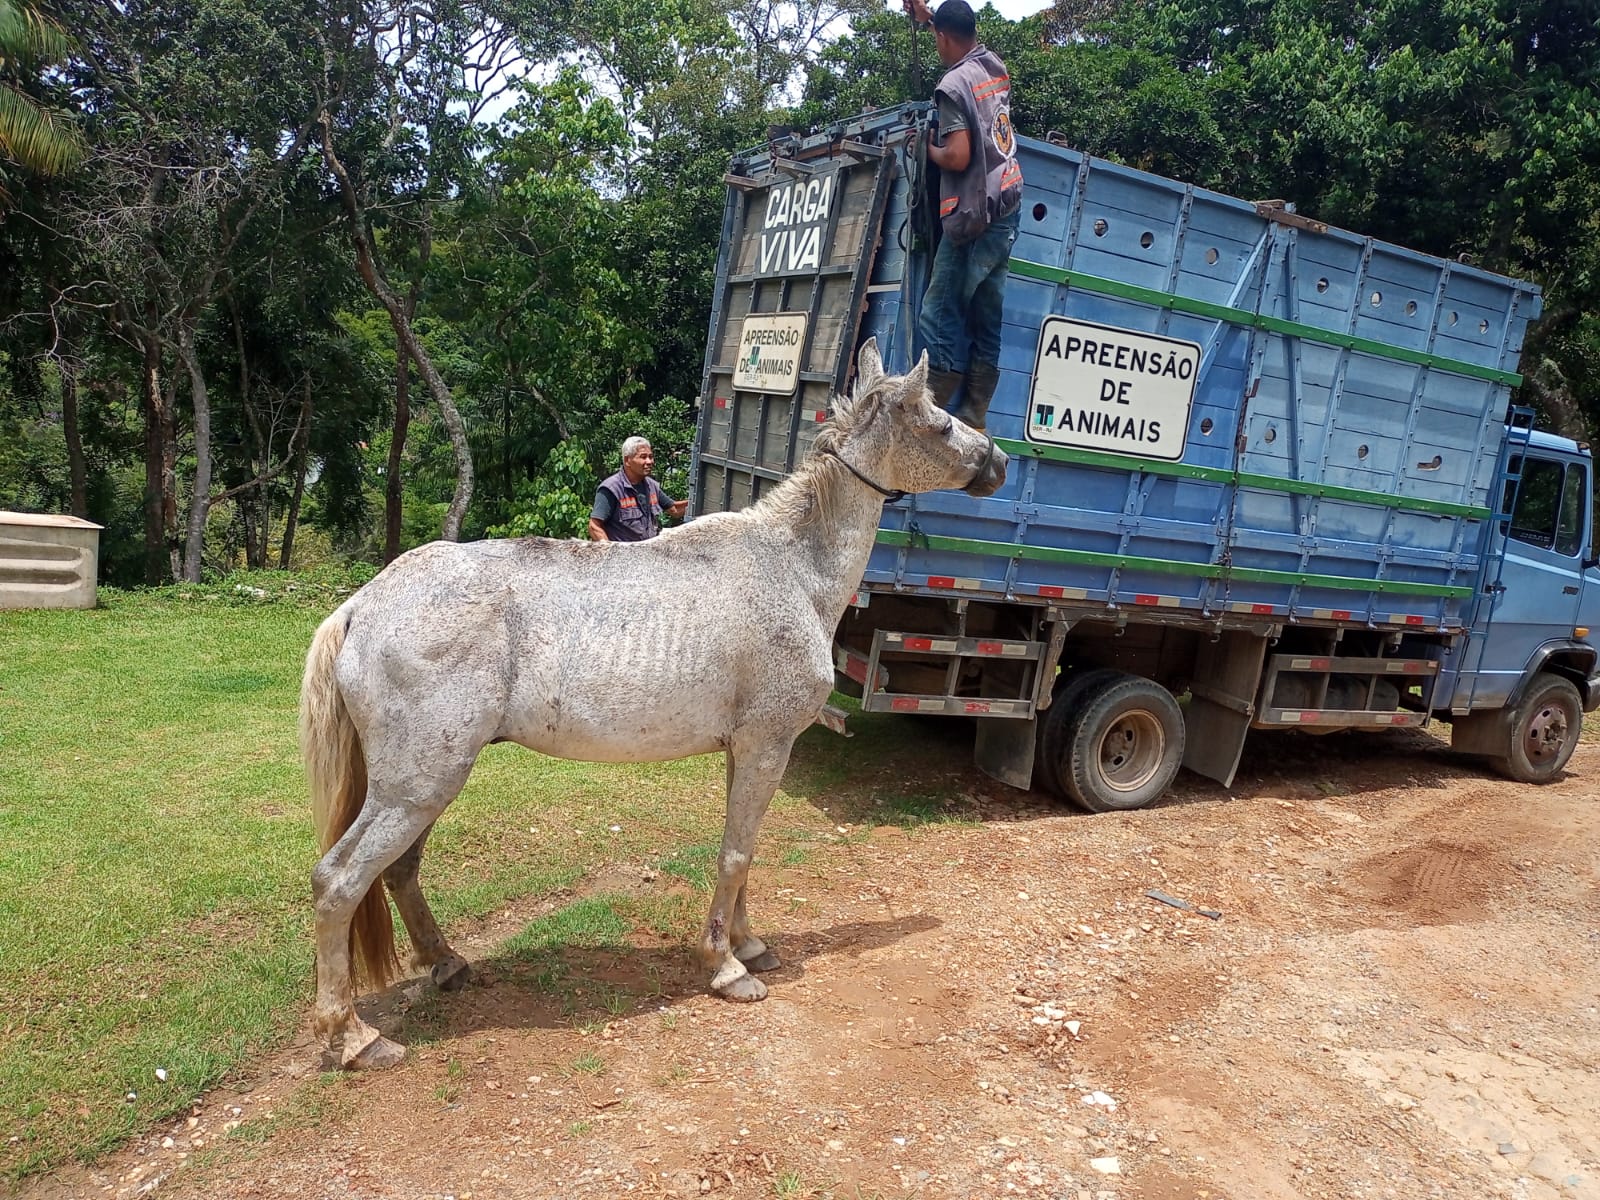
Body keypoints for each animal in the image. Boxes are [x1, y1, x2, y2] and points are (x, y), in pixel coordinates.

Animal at [296, 340, 1004, 1068]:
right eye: (939, 423)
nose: (997, 461)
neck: (791, 569)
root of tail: (362, 604)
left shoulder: (747, 750)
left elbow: (741, 850)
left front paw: (749, 944)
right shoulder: (767, 746)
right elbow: (735, 854)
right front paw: (726, 967)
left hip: (421, 788)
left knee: (399, 871)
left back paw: (446, 964)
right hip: (416, 787)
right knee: (339, 881)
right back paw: (353, 1036)